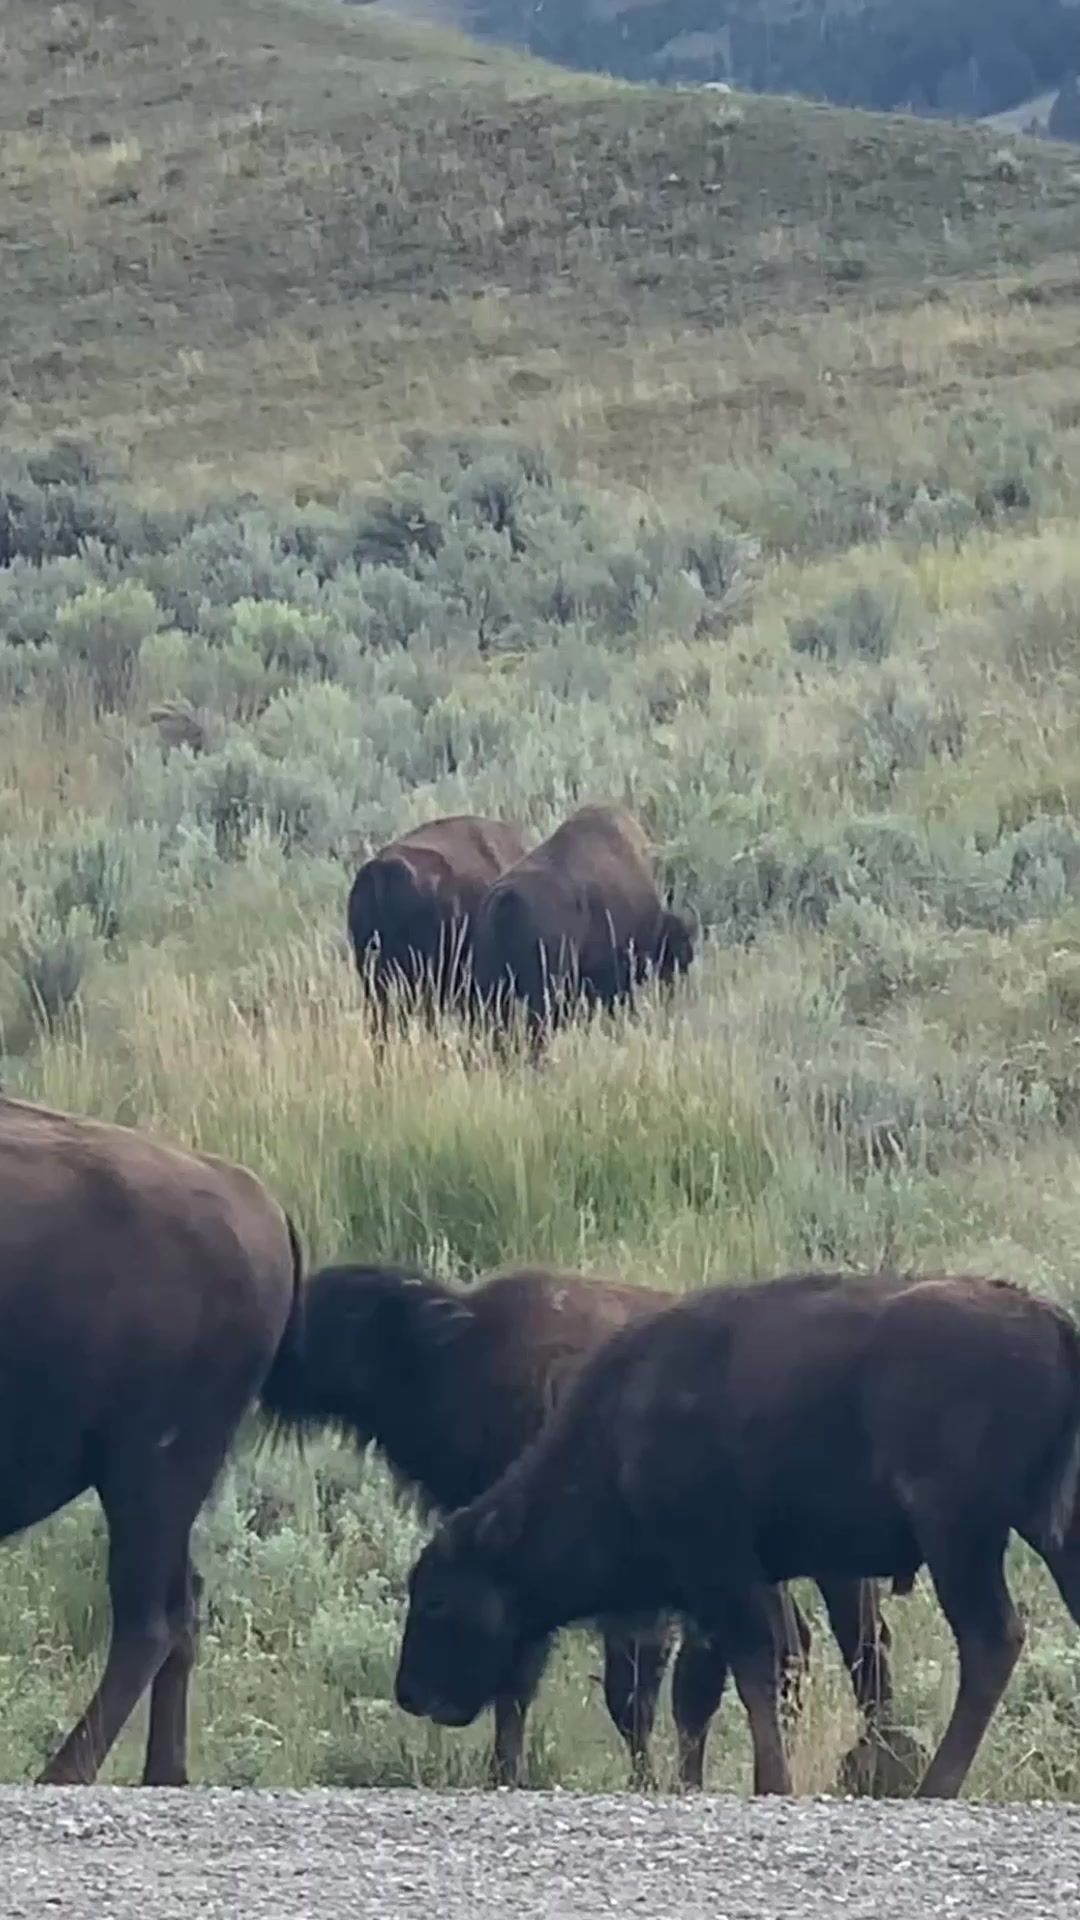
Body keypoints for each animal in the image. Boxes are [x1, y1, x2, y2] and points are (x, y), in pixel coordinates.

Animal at [0, 1093, 303, 1786]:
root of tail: (258, 1200)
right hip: (168, 1483)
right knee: (181, 1606)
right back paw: (162, 1771)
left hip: (148, 1473)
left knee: (148, 1622)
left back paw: (64, 1775)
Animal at [394, 1268, 1080, 1799]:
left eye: (438, 1600)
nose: (410, 1694)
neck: (619, 1434)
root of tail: (1047, 1321)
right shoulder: (716, 1595)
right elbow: (719, 1686)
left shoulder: (720, 1569)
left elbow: (751, 1671)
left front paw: (768, 1782)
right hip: (1048, 1534)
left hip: (957, 1534)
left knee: (990, 1641)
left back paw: (936, 1787)